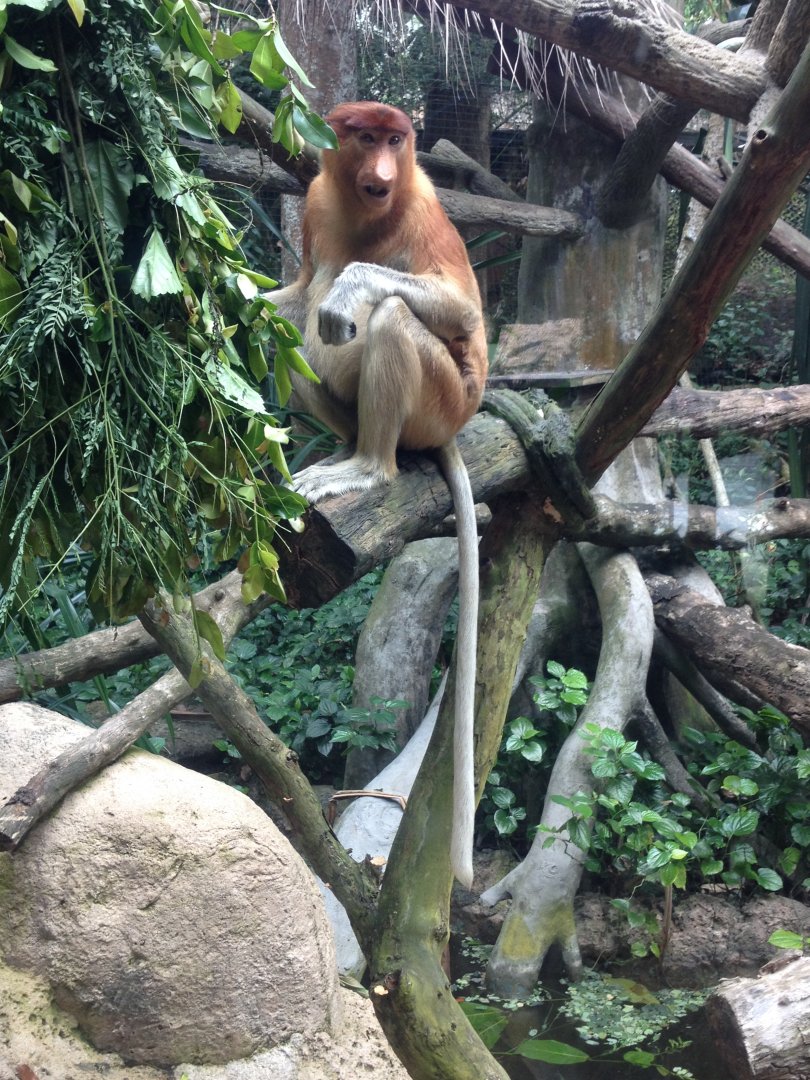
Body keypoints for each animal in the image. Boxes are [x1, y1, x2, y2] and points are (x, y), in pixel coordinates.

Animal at [270, 102, 487, 887]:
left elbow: (458, 311)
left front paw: (349, 292)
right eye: (365, 137)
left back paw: (368, 468)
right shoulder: (315, 200)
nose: (384, 171)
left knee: (395, 315)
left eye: (400, 140)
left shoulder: (423, 205)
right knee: (288, 328)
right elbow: (294, 292)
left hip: (441, 402)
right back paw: (339, 453)